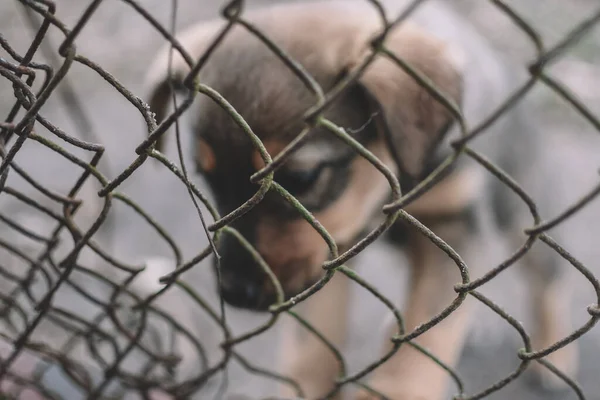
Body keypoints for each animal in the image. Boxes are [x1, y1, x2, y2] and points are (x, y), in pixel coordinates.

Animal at [144, 1, 576, 398]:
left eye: (300, 178)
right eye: (206, 176)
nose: (233, 294)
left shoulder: (454, 224)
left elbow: (427, 330)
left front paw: (398, 388)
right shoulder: (331, 249)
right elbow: (317, 334)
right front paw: (307, 384)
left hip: (522, 214)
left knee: (548, 284)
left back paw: (554, 357)